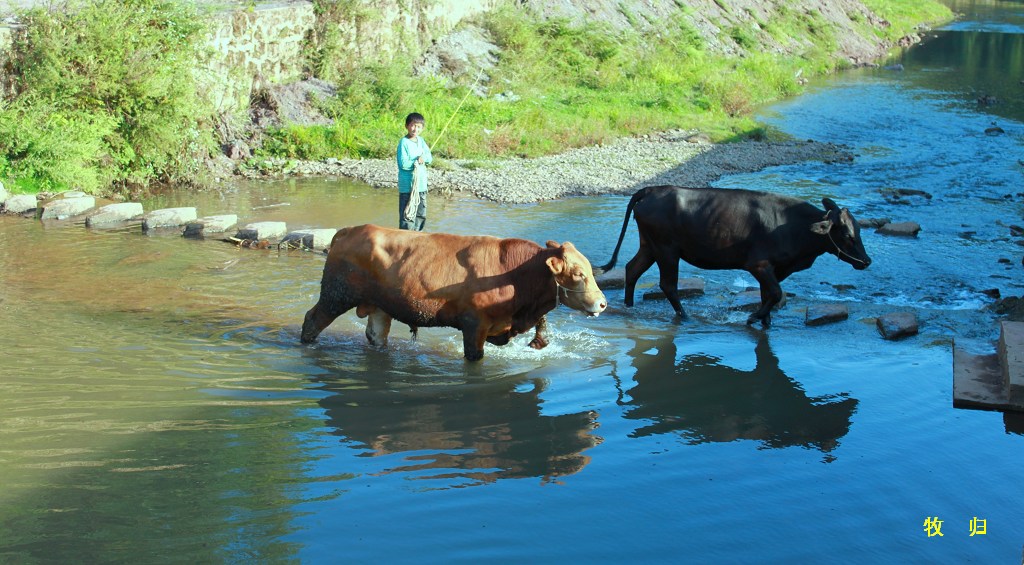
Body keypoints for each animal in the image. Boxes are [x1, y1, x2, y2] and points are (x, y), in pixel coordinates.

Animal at [299, 223, 606, 360]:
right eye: (578, 274)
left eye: (590, 271)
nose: (602, 304)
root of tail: (349, 230)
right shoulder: (474, 324)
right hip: (336, 296)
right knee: (312, 320)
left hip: (378, 307)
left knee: (376, 337)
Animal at [598, 185, 872, 327]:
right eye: (847, 234)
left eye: (858, 230)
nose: (867, 261)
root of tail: (652, 189)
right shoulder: (759, 265)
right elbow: (775, 293)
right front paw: (752, 318)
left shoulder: (773, 269)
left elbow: (767, 295)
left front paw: (765, 322)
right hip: (667, 250)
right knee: (668, 284)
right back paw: (685, 316)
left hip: (650, 246)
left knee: (633, 269)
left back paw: (629, 306)